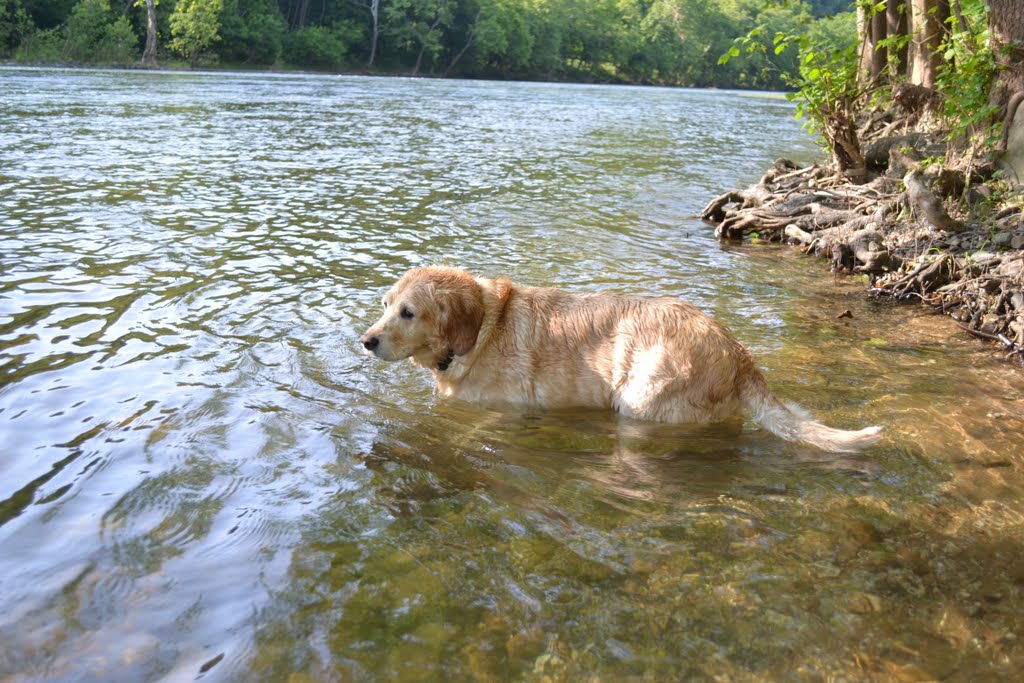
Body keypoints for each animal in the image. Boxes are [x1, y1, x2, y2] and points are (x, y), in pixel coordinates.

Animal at [360, 266, 880, 454]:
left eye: (408, 312)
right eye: (384, 304)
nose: (366, 340)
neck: (482, 328)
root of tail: (736, 352)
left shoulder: (505, 411)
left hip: (641, 400)